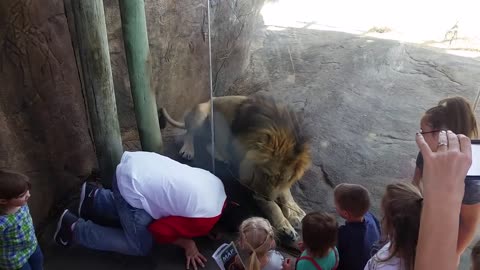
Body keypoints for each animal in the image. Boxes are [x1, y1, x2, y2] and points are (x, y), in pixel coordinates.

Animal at [158, 94, 312, 240]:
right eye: (266, 175)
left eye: (282, 180)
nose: (267, 197)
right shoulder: (252, 182)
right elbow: (272, 206)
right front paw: (285, 226)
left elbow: (286, 193)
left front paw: (295, 213)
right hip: (201, 113)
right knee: (189, 134)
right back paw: (188, 150)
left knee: (209, 144)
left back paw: (221, 156)